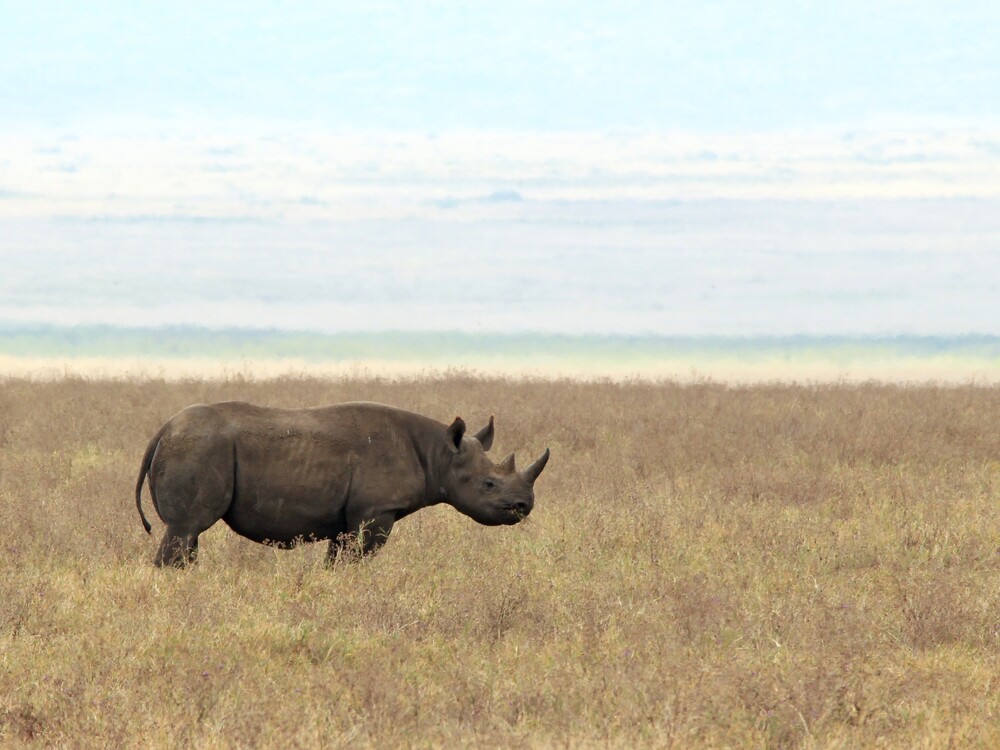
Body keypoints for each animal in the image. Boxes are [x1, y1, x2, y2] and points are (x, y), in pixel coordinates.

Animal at [134, 401, 550, 567]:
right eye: (489, 484)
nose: (524, 506)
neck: (440, 454)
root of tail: (162, 432)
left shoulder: (346, 518)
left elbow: (336, 560)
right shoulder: (376, 510)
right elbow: (358, 559)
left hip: (196, 446)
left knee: (189, 536)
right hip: (199, 448)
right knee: (186, 528)